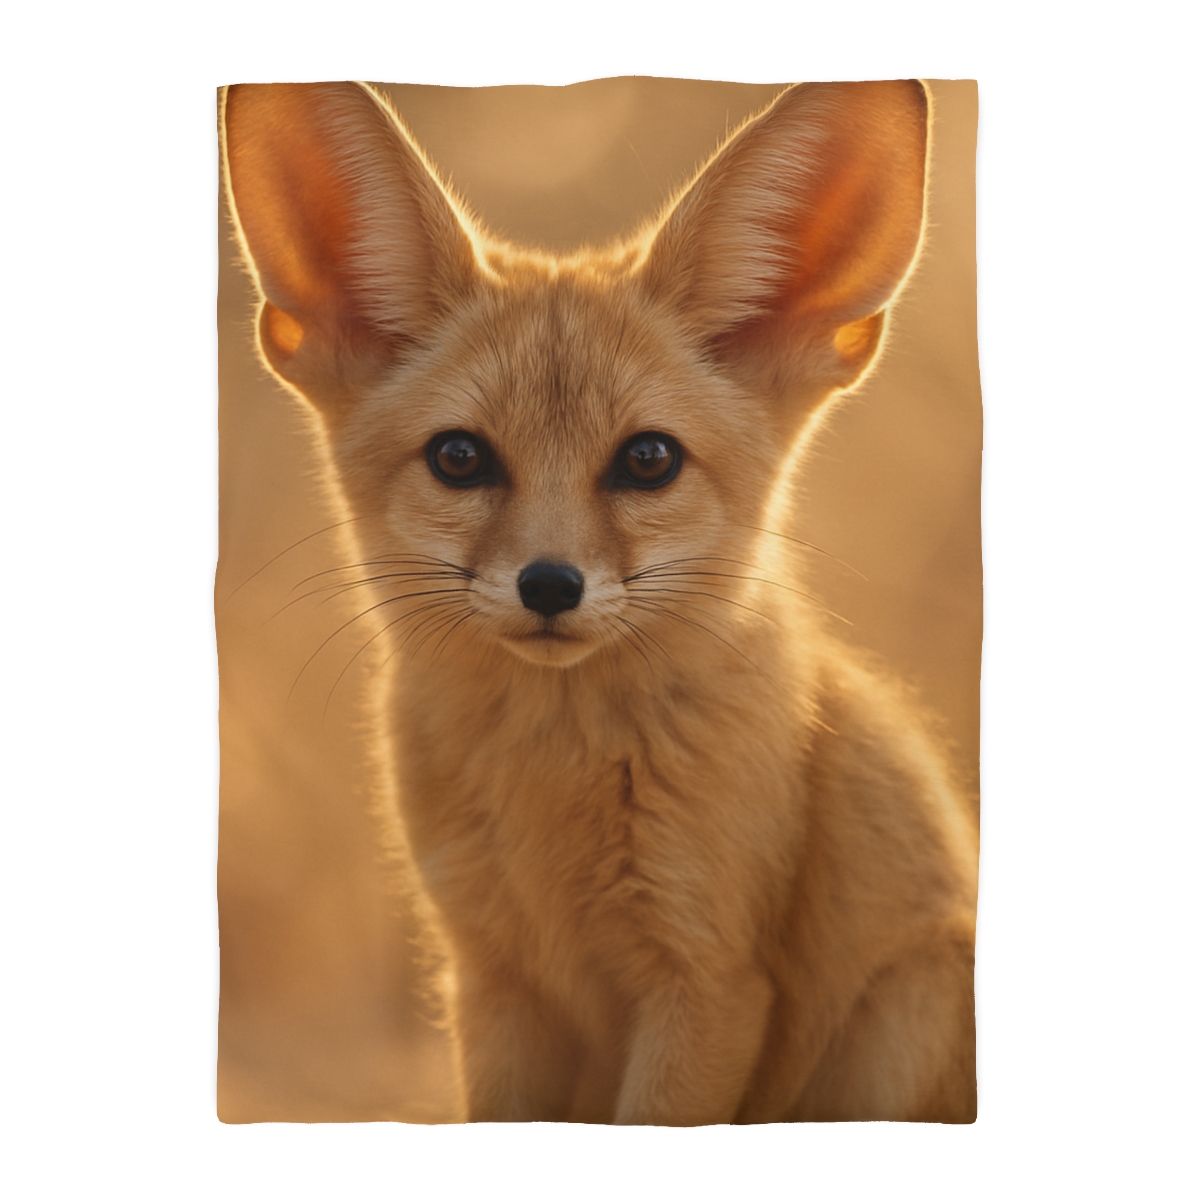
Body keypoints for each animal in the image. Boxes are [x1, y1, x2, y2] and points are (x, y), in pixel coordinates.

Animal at [220, 78, 978, 1124]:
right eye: (460, 458)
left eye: (648, 459)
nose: (549, 584)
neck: (556, 789)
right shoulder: (492, 982)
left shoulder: (709, 980)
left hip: (907, 1013)